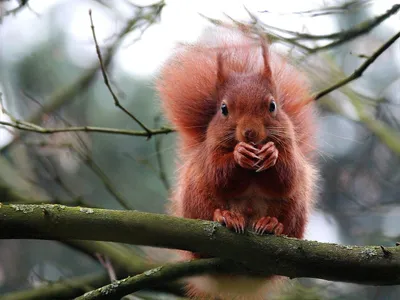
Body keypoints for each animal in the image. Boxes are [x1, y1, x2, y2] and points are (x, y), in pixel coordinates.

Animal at [156, 27, 318, 298]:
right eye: (223, 109)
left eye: (273, 106)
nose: (249, 133)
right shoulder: (210, 155)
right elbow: (218, 175)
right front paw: (239, 154)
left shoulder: (290, 149)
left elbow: (288, 176)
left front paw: (271, 154)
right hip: (197, 199)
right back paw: (226, 217)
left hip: (295, 208)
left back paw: (271, 224)